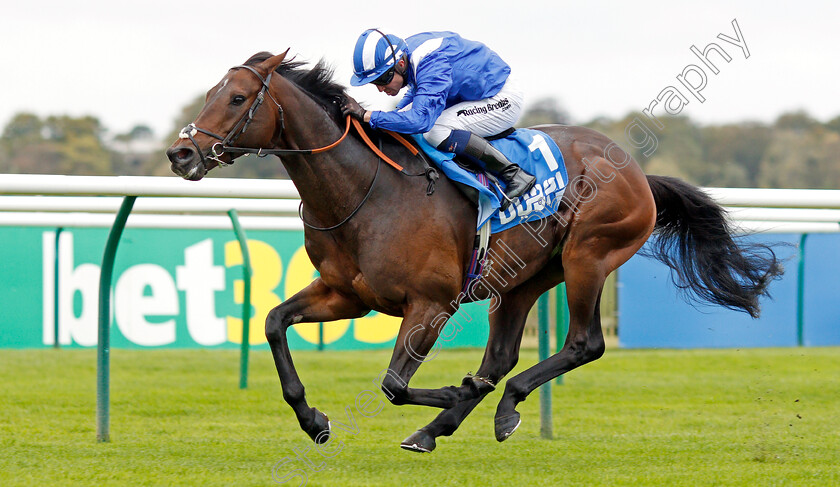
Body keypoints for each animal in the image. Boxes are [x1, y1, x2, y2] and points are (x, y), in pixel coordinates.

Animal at [167, 50, 784, 454]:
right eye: (210, 94)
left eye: (238, 98)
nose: (181, 154)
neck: (365, 190)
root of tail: (637, 172)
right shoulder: (346, 294)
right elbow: (273, 322)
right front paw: (313, 419)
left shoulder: (431, 303)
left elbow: (393, 385)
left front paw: (448, 391)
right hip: (525, 279)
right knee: (502, 356)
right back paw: (453, 422)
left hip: (589, 257)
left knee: (582, 344)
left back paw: (487, 405)